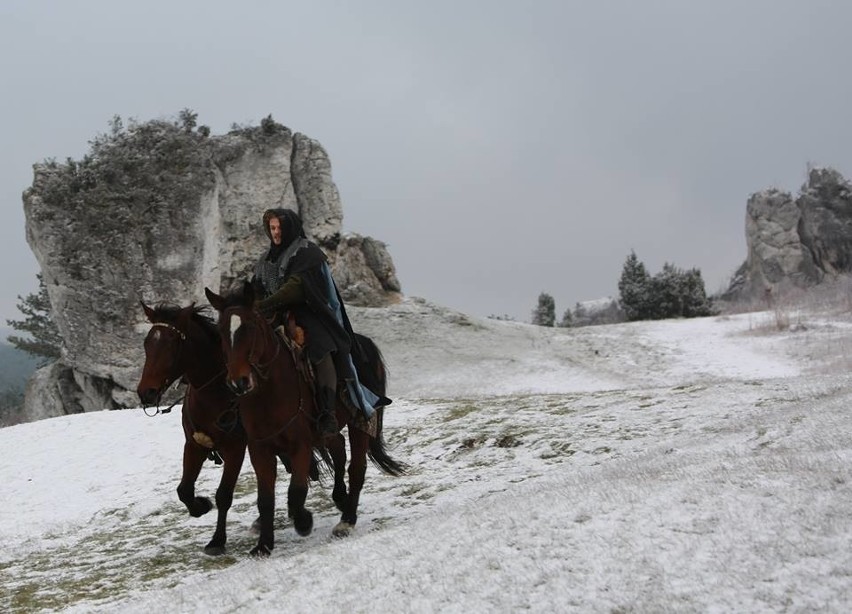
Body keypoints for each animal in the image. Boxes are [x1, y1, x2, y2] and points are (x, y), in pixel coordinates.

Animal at [135, 304, 245, 560]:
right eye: (147, 343)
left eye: (172, 343)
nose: (146, 392)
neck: (213, 394)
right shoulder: (194, 446)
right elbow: (183, 490)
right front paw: (201, 506)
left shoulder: (236, 448)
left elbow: (224, 495)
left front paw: (217, 540)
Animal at [206, 284, 406, 560]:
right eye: (221, 332)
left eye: (251, 327)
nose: (239, 382)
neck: (269, 393)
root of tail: (365, 344)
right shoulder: (260, 449)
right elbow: (265, 498)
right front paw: (264, 545)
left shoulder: (300, 445)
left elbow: (297, 490)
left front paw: (303, 521)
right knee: (339, 448)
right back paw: (340, 498)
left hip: (361, 420)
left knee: (357, 468)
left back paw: (346, 520)